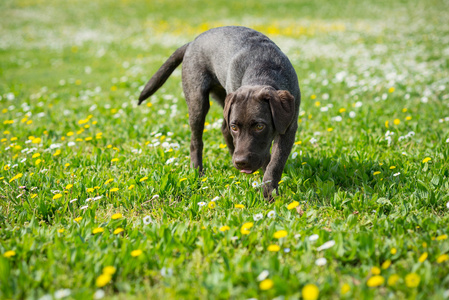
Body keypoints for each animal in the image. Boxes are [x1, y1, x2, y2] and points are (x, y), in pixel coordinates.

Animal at [139, 25, 300, 199]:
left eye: (259, 126)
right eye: (235, 127)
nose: (240, 162)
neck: (263, 70)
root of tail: (192, 42)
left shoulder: (289, 127)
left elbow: (276, 161)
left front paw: (269, 190)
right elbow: (268, 159)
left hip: (223, 100)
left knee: (223, 129)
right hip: (198, 101)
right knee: (196, 141)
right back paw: (198, 173)